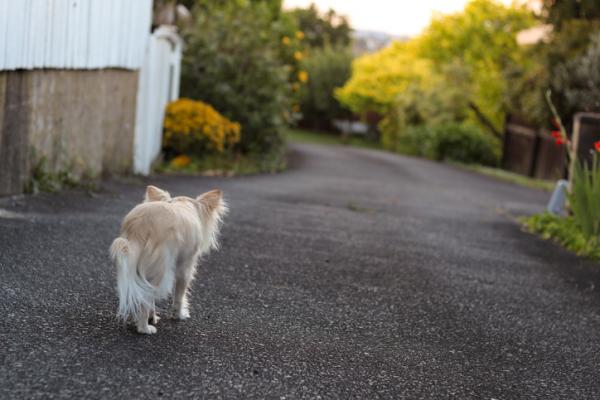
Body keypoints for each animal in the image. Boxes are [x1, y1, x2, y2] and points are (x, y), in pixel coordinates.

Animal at [110, 186, 227, 332]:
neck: (183, 203)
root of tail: (140, 225)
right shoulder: (186, 268)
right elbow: (179, 296)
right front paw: (179, 315)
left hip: (136, 264)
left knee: (143, 293)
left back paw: (145, 318)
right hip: (163, 269)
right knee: (146, 298)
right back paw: (144, 328)